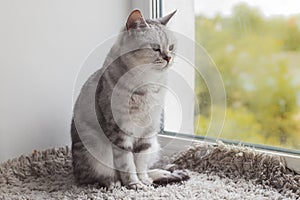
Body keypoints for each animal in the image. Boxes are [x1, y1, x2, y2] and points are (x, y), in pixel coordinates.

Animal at [70, 9, 189, 190]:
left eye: (171, 47)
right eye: (155, 48)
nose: (168, 58)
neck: (148, 84)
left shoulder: (148, 132)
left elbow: (140, 163)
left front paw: (144, 181)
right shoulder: (120, 131)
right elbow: (127, 164)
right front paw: (134, 184)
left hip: (154, 143)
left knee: (152, 167)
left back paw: (170, 174)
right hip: (95, 149)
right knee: (98, 176)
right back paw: (114, 183)